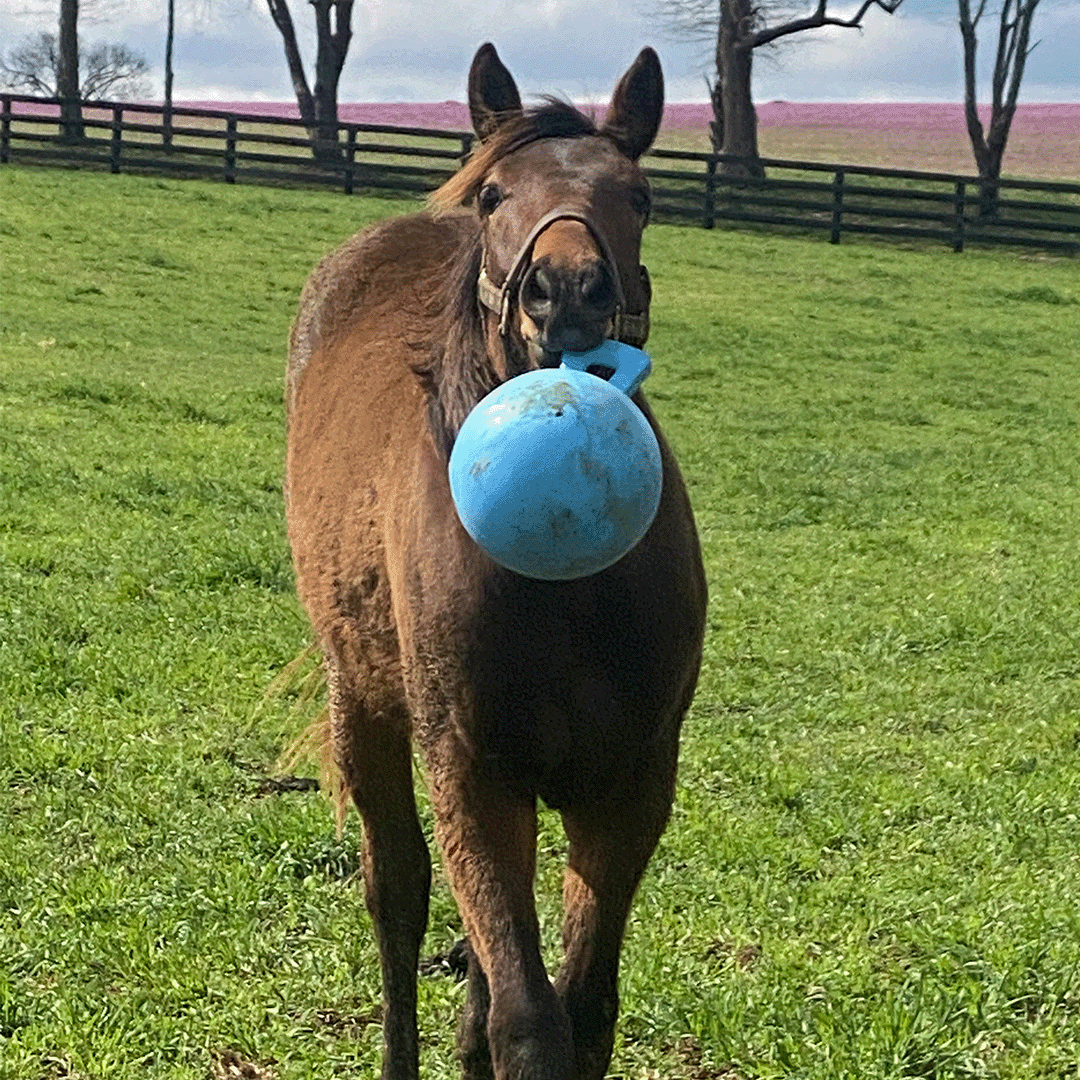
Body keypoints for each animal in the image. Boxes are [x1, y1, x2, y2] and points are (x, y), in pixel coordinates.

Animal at [285, 42, 708, 1080]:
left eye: (639, 195)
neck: (565, 586)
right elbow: (529, 1018)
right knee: (396, 897)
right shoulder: (475, 776)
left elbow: (584, 1008)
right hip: (364, 703)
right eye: (493, 195)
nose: (568, 293)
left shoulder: (631, 785)